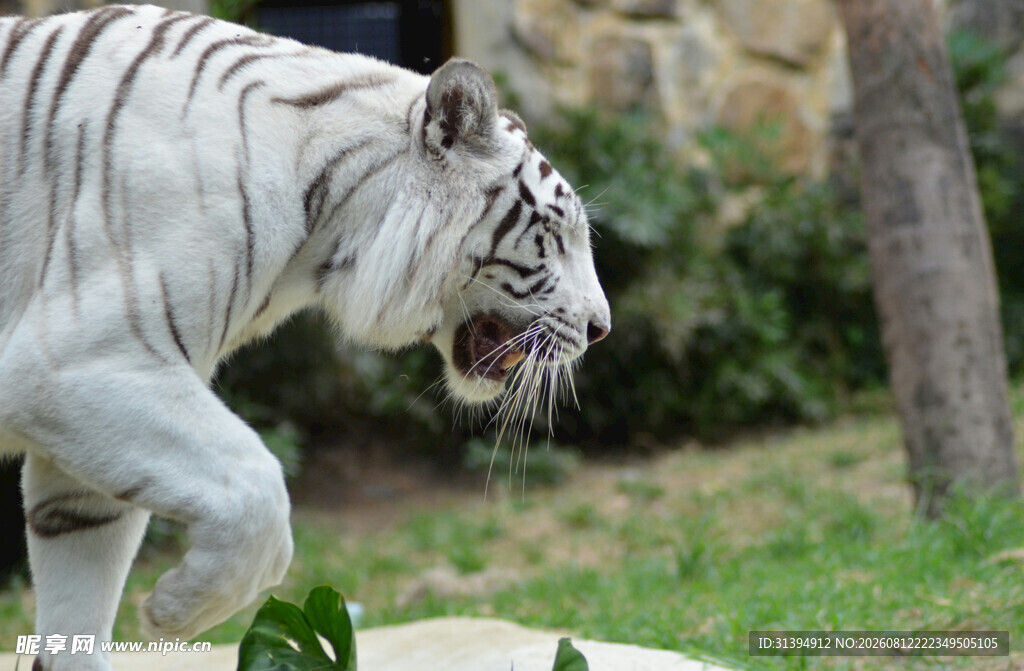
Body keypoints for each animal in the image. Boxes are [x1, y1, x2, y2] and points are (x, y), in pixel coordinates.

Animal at [0, 4, 610, 670]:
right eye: (554, 234)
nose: (601, 329)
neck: (324, 224)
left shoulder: (85, 439)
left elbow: (79, 591)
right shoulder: (77, 361)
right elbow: (258, 489)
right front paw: (176, 610)